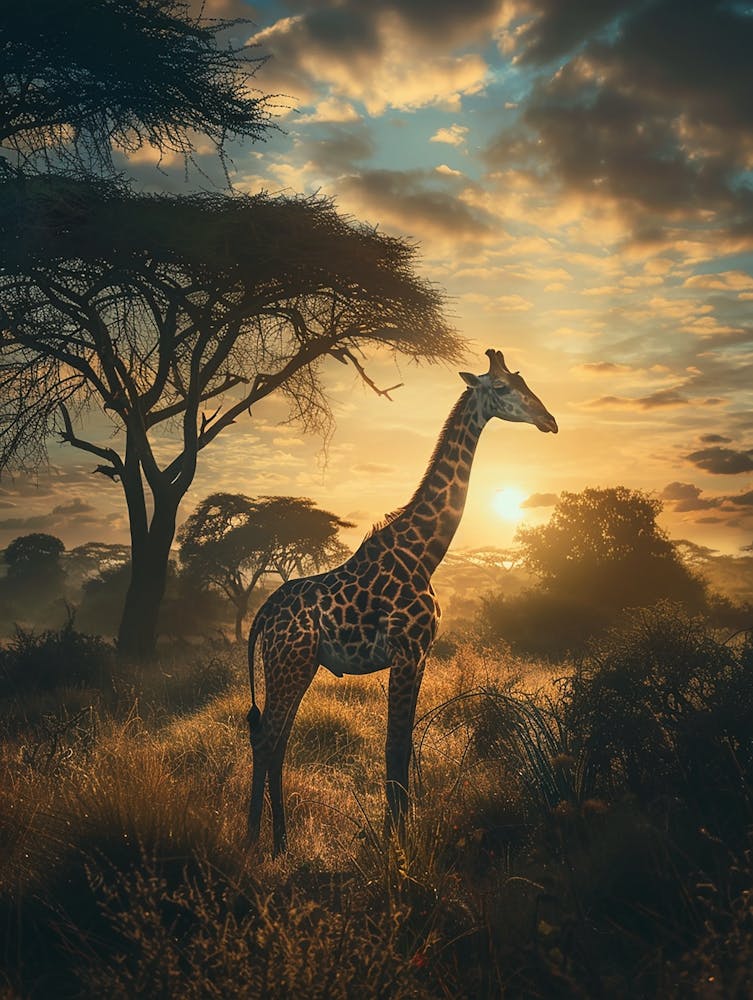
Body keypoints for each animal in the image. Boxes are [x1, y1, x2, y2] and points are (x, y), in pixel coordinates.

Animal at [246, 348, 558, 854]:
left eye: (523, 380)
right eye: (503, 388)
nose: (549, 420)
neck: (425, 553)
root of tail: (261, 616)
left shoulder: (422, 654)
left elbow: (406, 745)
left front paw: (403, 831)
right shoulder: (406, 651)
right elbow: (394, 747)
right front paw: (397, 842)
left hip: (299, 665)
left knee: (277, 741)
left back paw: (281, 842)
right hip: (288, 662)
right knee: (265, 739)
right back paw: (254, 840)